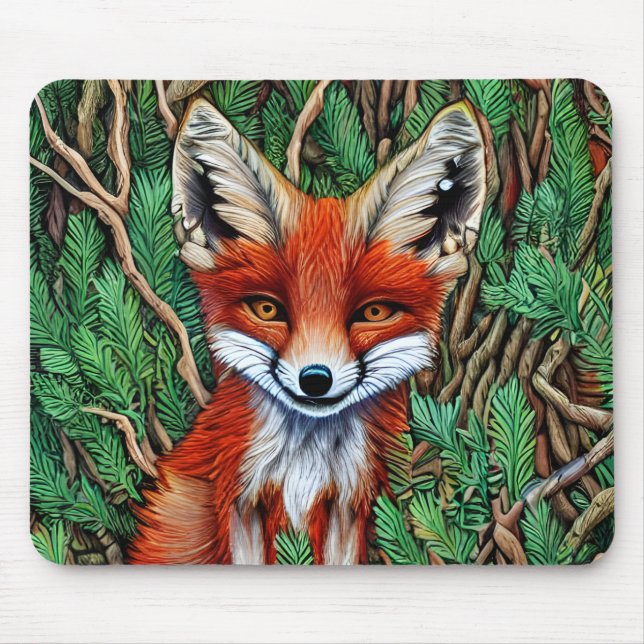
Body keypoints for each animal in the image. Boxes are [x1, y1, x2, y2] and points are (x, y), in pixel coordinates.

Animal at [128, 92, 495, 565]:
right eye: (267, 309)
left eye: (374, 312)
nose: (315, 380)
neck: (305, 465)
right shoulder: (237, 499)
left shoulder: (351, 506)